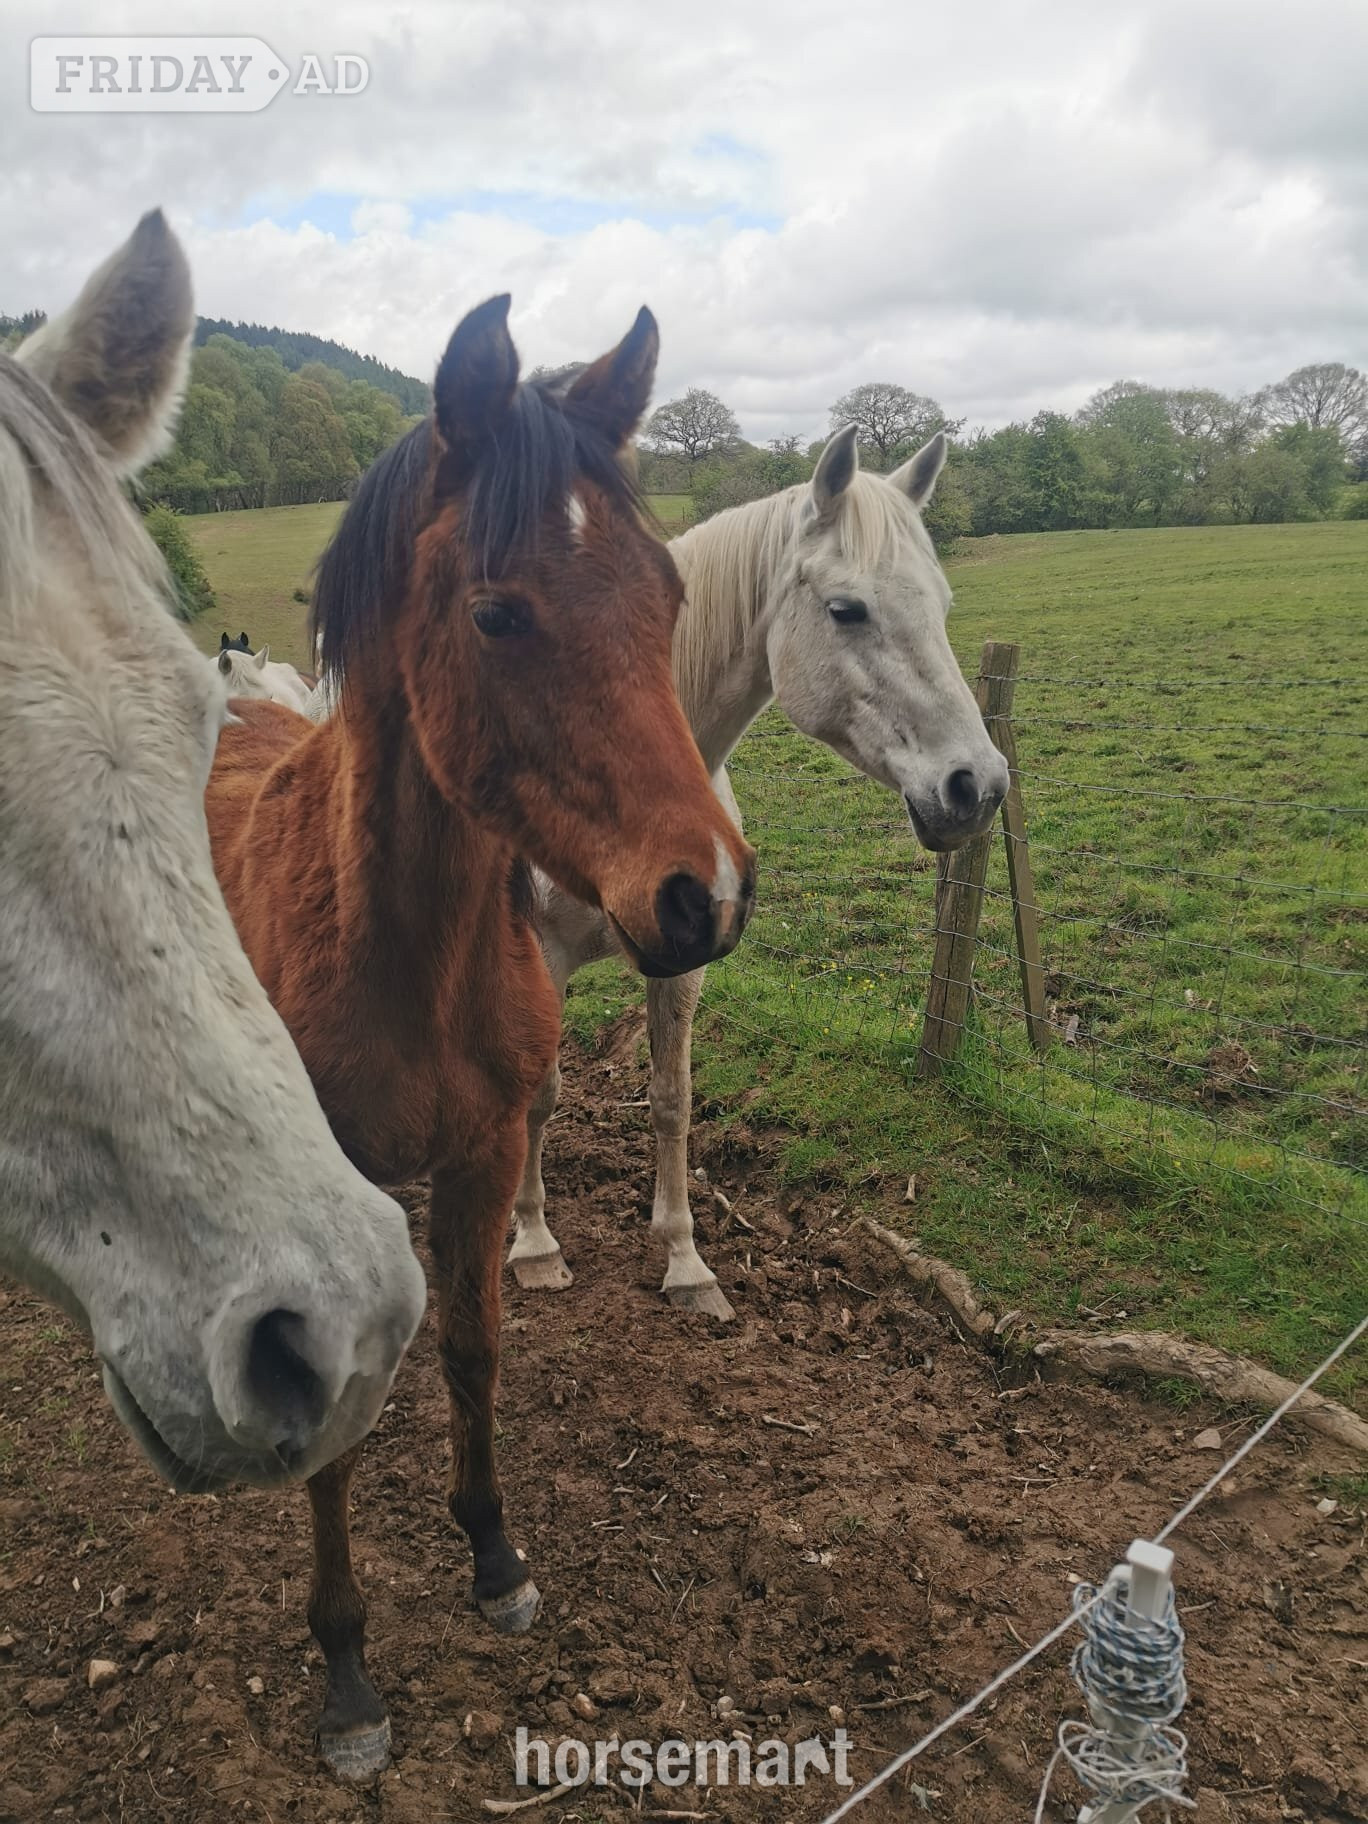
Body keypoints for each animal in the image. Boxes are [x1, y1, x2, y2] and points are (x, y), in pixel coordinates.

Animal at [204, 293, 757, 1777]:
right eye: (497, 612)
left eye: (669, 596)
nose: (705, 894)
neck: (397, 954)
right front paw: (347, 1678)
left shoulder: (487, 1152)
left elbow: (473, 1345)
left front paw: (497, 1558)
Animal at [509, 425, 1011, 1316]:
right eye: (847, 609)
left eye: (943, 606)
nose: (976, 787)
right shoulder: (546, 955)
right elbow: (542, 1093)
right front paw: (534, 1244)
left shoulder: (684, 959)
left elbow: (671, 1102)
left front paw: (685, 1261)